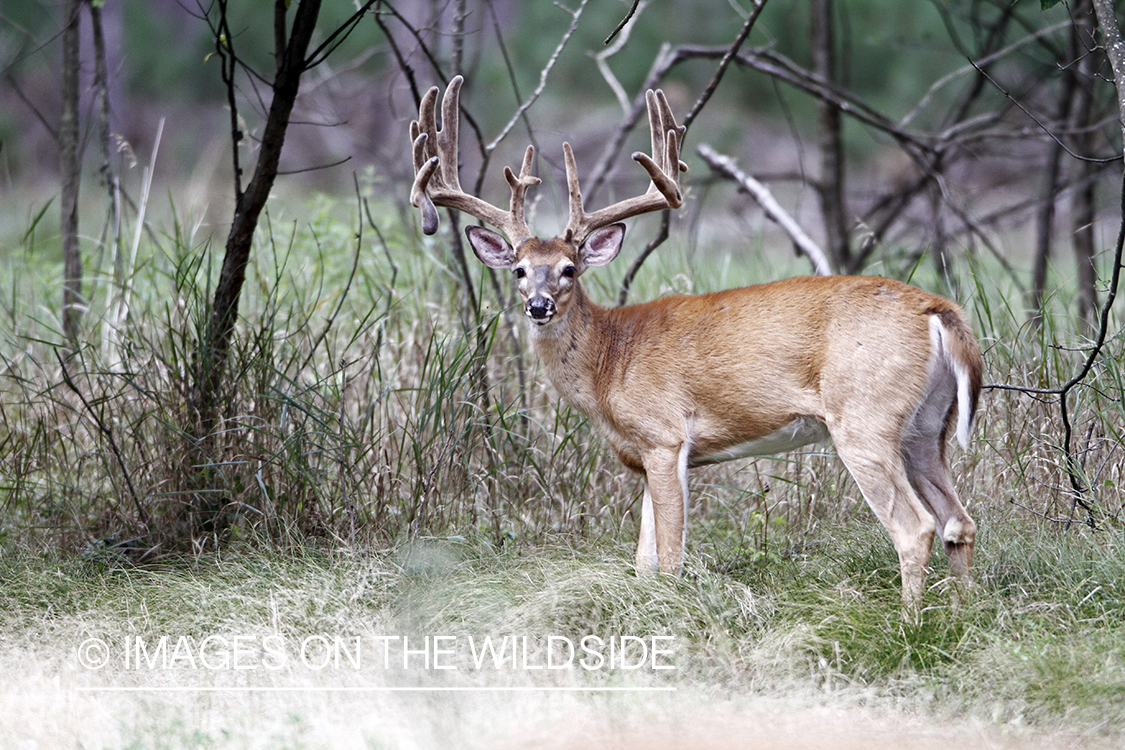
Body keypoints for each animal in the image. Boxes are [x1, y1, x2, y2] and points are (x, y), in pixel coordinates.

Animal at [409, 76, 981, 602]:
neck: (608, 362)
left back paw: (909, 627)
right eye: (520, 271)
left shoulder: (665, 435)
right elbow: (642, 562)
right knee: (959, 521)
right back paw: (959, 613)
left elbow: (669, 560)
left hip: (864, 415)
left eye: (569, 269)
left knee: (915, 528)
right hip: (926, 427)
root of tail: (940, 311)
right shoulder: (644, 453)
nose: (539, 306)